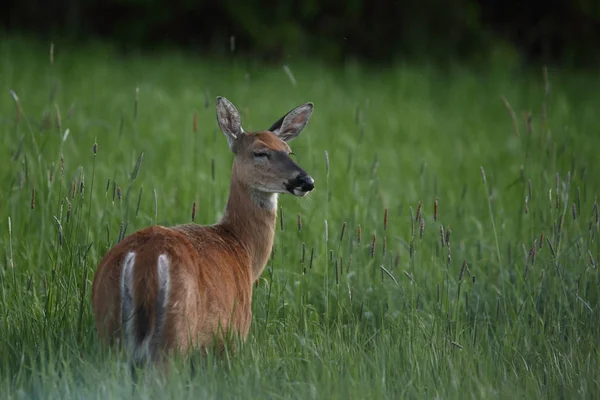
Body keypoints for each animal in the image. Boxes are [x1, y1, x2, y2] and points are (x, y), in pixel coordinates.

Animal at [92, 95, 316, 368]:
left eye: (288, 150)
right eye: (260, 152)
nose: (306, 181)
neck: (241, 246)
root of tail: (143, 259)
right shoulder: (233, 334)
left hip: (108, 328)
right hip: (176, 334)